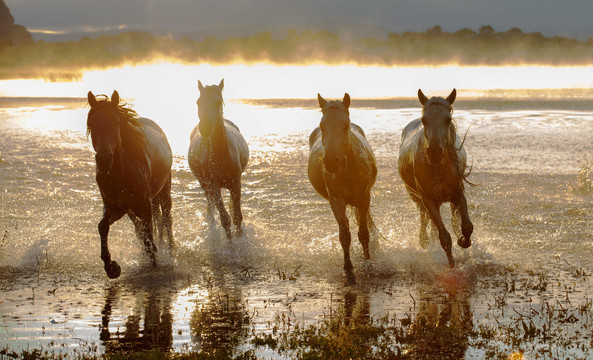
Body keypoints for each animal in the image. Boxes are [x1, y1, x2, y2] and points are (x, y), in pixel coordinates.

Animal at [85, 90, 173, 278]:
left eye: (115, 122)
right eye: (92, 124)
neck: (122, 174)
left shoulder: (145, 206)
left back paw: (171, 252)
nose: (104, 159)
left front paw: (154, 265)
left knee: (167, 220)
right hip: (132, 210)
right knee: (140, 229)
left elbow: (150, 239)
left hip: (164, 192)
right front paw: (111, 267)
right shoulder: (116, 208)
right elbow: (103, 227)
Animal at [187, 79, 247, 239]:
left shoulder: (236, 183)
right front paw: (230, 243)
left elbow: (237, 217)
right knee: (211, 204)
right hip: (204, 184)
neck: (221, 154)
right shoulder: (213, 186)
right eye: (198, 102)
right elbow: (225, 219)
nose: (205, 127)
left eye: (218, 102)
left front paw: (240, 238)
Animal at [308, 93, 376, 284]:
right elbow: (344, 235)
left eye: (345, 125)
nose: (331, 161)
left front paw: (368, 265)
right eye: (322, 125)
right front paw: (349, 270)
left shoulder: (363, 199)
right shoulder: (336, 202)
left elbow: (363, 233)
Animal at [396, 88, 474, 266]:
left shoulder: (458, 193)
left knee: (452, 222)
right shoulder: (428, 200)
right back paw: (425, 240)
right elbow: (444, 237)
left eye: (448, 119)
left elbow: (466, 226)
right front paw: (452, 266)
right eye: (424, 120)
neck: (438, 170)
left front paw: (463, 241)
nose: (434, 152)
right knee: (425, 219)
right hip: (417, 199)